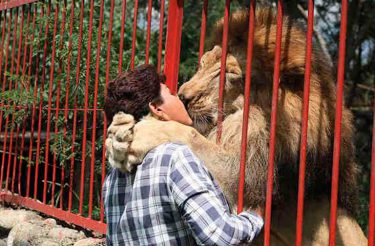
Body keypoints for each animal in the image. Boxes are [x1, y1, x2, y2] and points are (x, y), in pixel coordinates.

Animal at [107, 7, 368, 244]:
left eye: (231, 74)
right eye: (203, 64)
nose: (183, 96)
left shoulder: (249, 183)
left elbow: (191, 136)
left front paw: (144, 131)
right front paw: (118, 137)